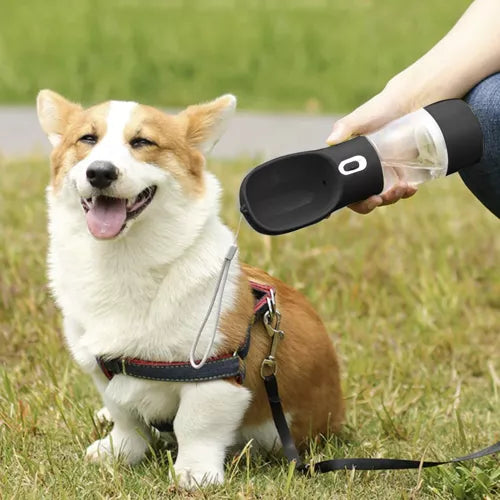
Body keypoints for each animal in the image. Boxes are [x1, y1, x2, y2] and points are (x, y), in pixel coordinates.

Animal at [36, 90, 344, 488]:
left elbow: (195, 425)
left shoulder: (215, 374)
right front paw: (119, 451)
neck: (124, 261)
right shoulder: (103, 370)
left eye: (142, 142)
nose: (100, 172)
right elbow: (126, 417)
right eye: (87, 139)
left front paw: (194, 474)